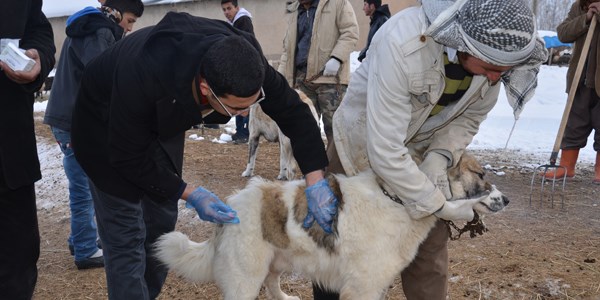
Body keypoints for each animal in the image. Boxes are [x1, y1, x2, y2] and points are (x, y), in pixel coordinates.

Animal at [155, 155, 506, 300]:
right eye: (481, 175)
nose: (506, 199)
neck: (399, 200)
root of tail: (229, 207)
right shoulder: (362, 288)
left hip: (274, 262)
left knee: (272, 284)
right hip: (245, 279)